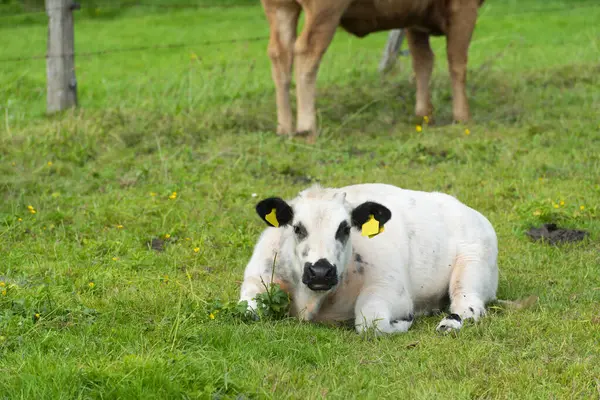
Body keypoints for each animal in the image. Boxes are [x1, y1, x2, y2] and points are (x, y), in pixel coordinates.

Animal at [239, 184, 496, 334]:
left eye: (344, 228)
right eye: (297, 228)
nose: (321, 272)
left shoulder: (391, 288)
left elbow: (370, 322)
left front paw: (403, 321)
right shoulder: (256, 280)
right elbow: (248, 312)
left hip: (474, 264)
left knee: (468, 305)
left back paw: (449, 324)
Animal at [262, 0, 482, 141]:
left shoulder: (414, 18)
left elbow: (422, 62)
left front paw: (424, 113)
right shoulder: (464, 7)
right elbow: (457, 63)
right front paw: (463, 116)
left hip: (279, 8)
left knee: (279, 54)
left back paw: (284, 127)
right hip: (324, 10)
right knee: (306, 51)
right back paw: (307, 127)